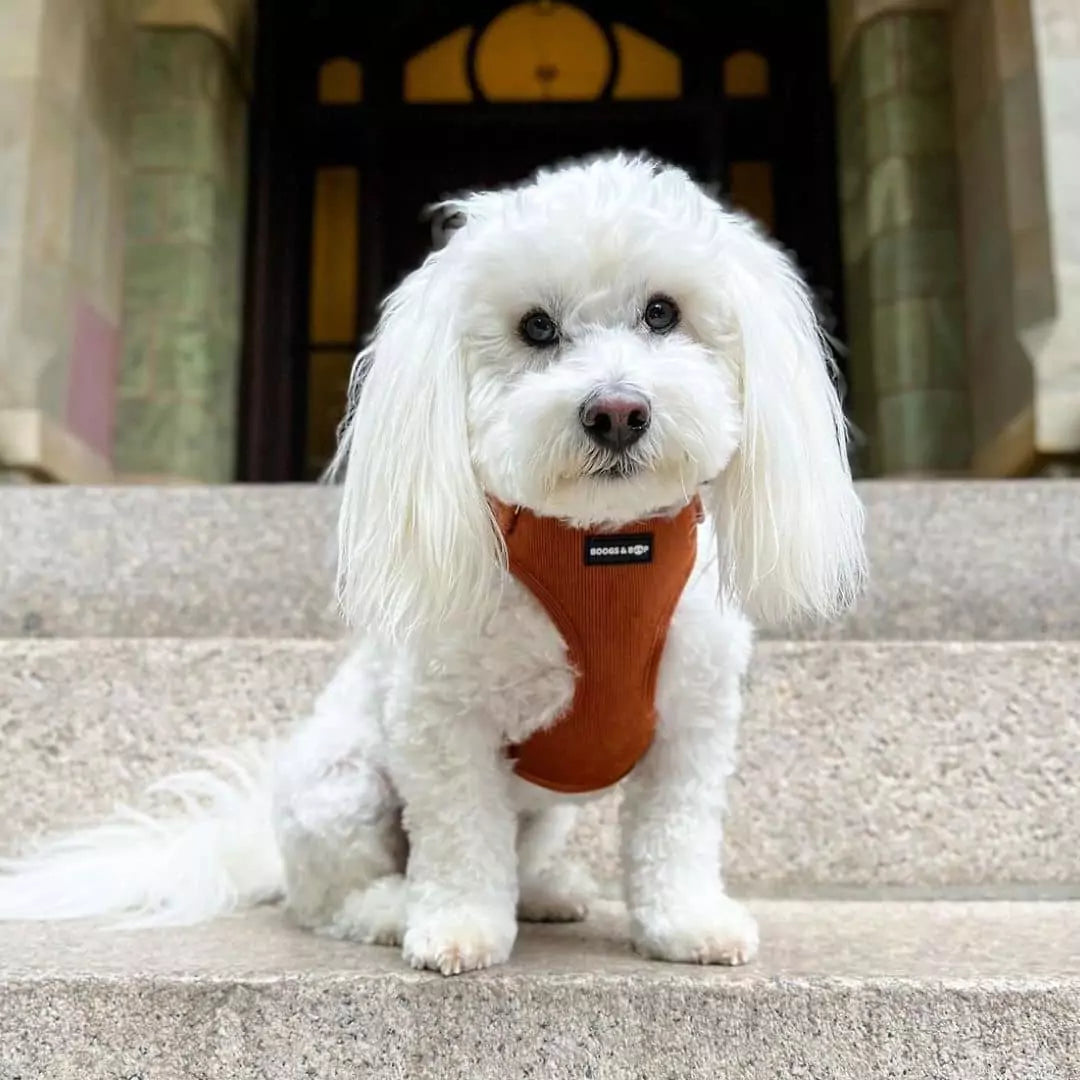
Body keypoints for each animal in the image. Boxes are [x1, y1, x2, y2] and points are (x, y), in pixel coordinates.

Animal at [0, 154, 864, 980]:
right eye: (536, 327)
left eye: (662, 312)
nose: (617, 412)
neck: (600, 552)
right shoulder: (444, 724)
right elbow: (461, 840)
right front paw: (457, 929)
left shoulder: (691, 723)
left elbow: (674, 835)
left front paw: (686, 925)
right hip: (342, 787)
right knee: (330, 900)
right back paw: (391, 909)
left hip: (543, 806)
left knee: (522, 852)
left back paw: (547, 892)